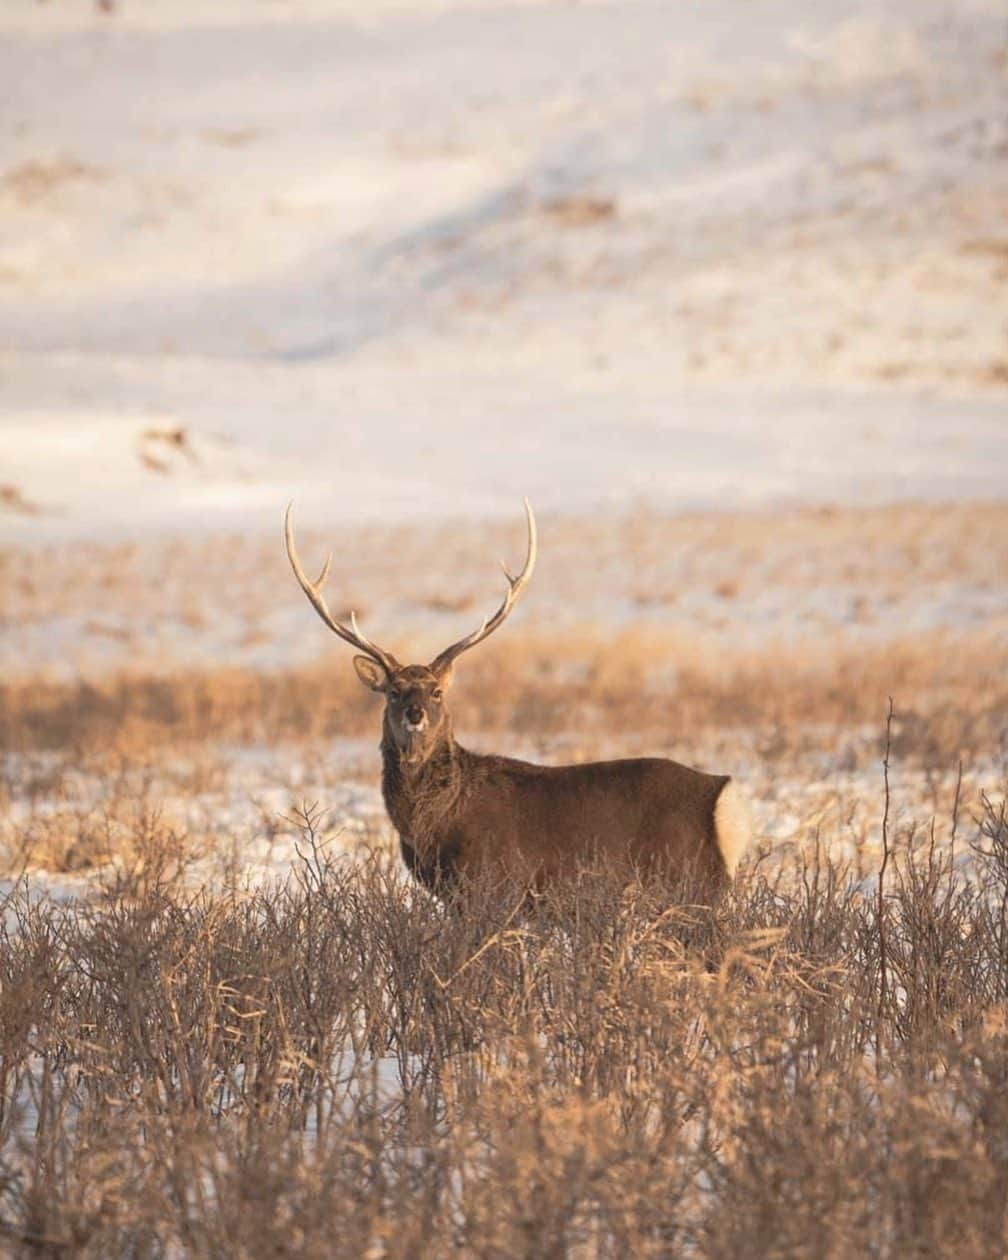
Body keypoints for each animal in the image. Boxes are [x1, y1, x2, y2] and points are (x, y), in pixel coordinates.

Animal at [283, 496, 745, 902]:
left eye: (436, 691)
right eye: (394, 691)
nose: (415, 714)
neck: (430, 826)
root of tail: (723, 795)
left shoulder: (493, 881)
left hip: (688, 877)